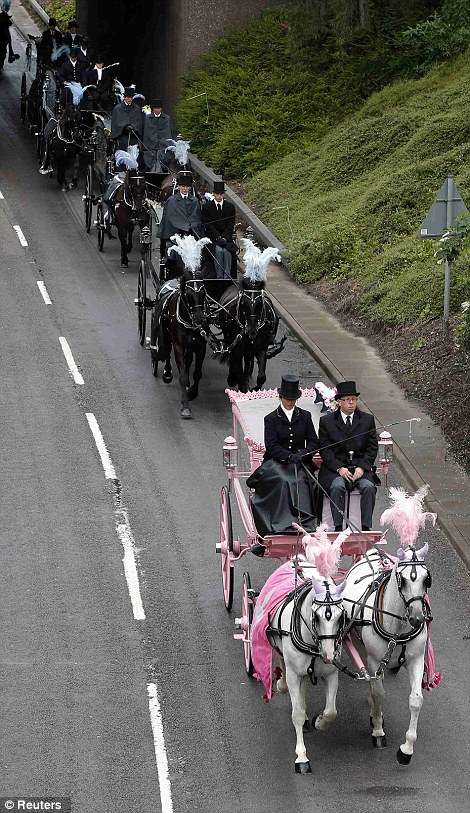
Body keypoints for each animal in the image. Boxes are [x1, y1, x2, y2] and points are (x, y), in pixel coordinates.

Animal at [151, 268, 213, 418]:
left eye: (204, 293)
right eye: (188, 294)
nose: (199, 319)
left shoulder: (200, 346)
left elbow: (197, 373)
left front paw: (192, 392)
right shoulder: (178, 345)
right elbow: (183, 376)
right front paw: (185, 405)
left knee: (188, 360)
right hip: (166, 334)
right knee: (167, 351)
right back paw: (167, 373)